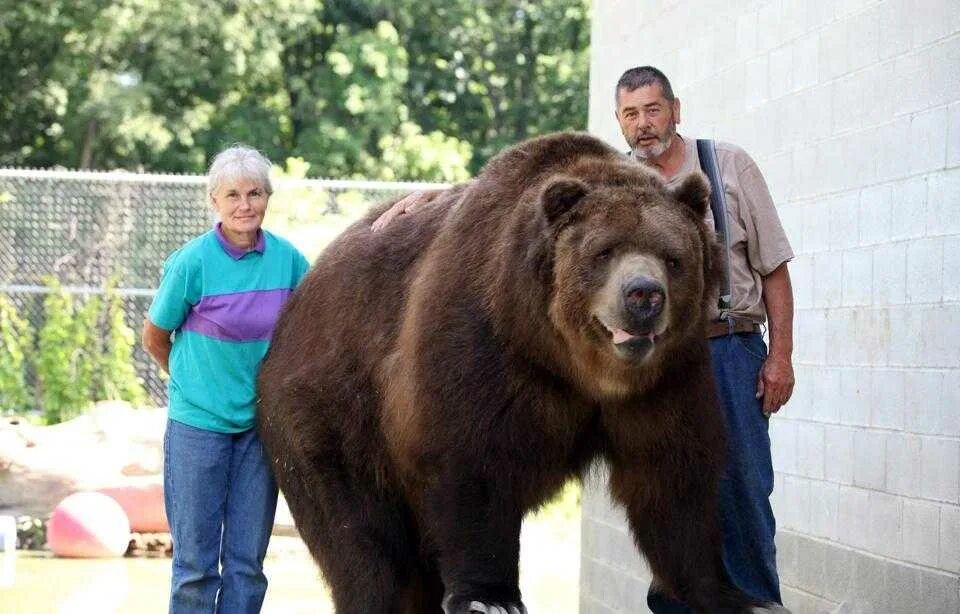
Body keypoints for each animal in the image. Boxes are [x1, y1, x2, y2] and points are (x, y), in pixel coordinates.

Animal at [255, 132, 756, 612]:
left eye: (673, 257)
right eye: (603, 251)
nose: (644, 295)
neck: (572, 364)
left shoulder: (666, 380)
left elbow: (673, 478)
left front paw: (734, 594)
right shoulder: (484, 347)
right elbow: (475, 462)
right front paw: (490, 596)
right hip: (335, 418)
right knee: (363, 539)